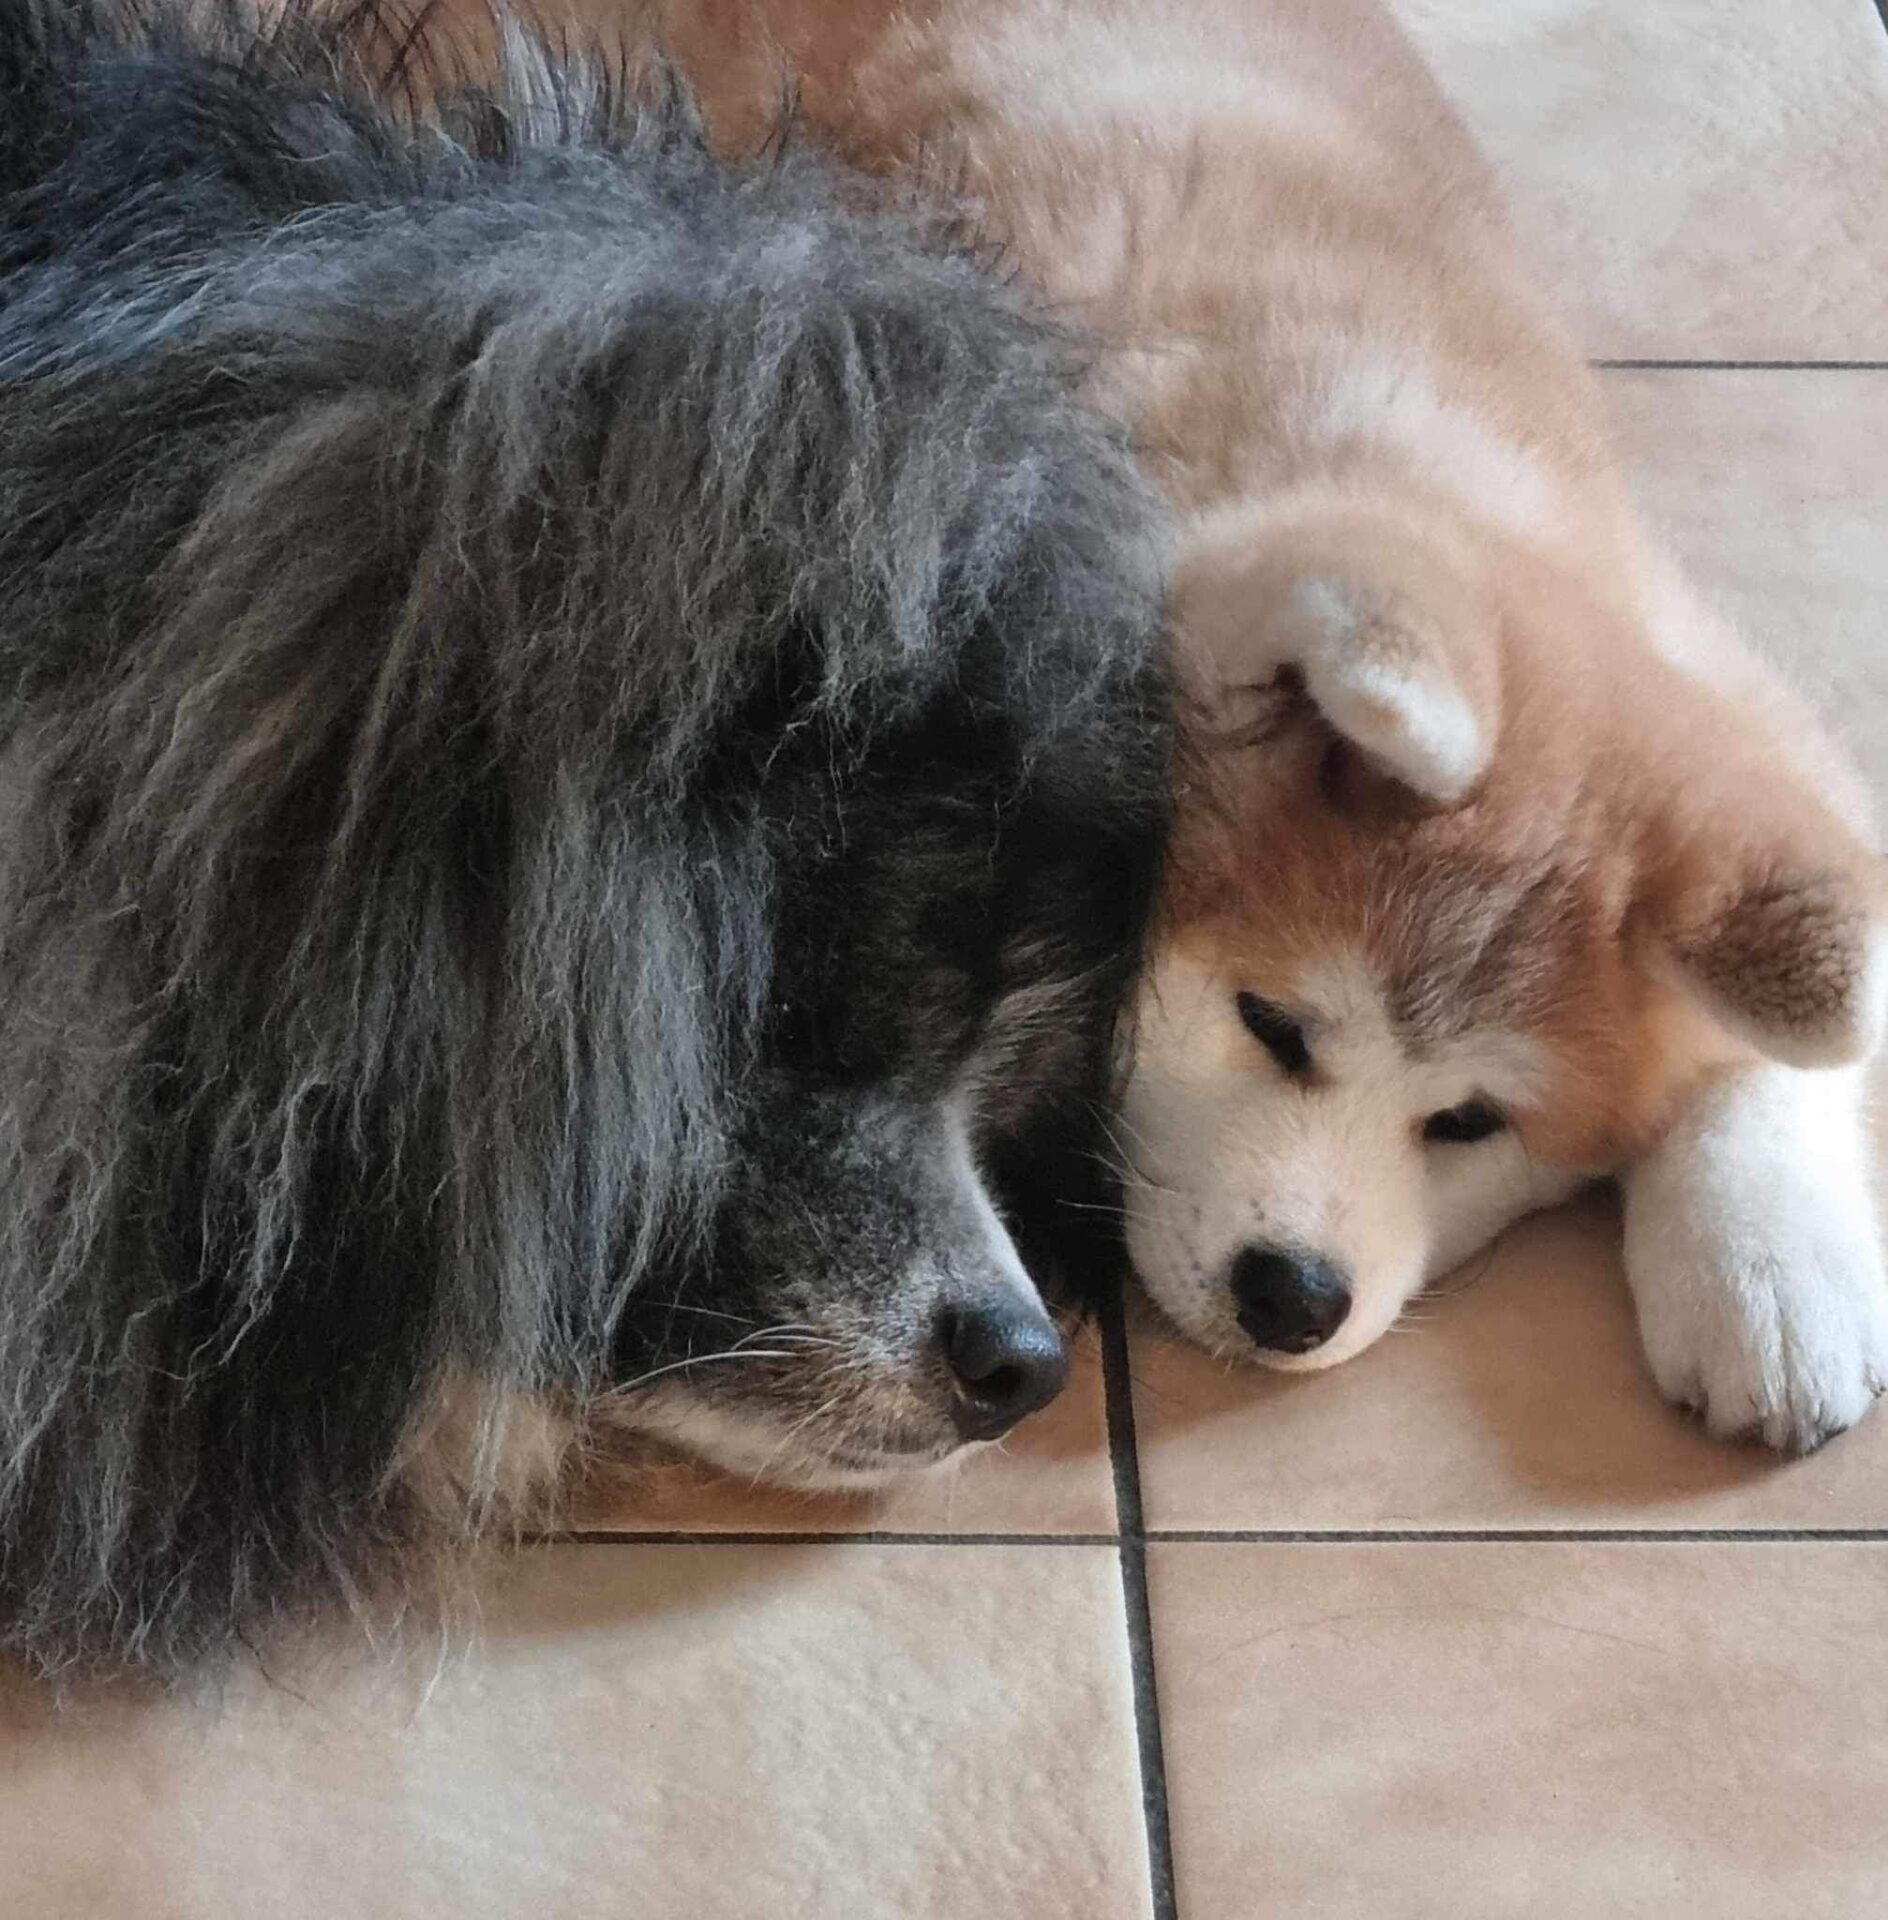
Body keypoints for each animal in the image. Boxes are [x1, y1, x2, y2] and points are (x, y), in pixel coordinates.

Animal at [583, 0, 1882, 1443]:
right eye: (1272, 1024)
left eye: (1473, 1122)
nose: (1293, 1295)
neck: (1395, 457)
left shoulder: (1731, 701)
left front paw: (1773, 1267)